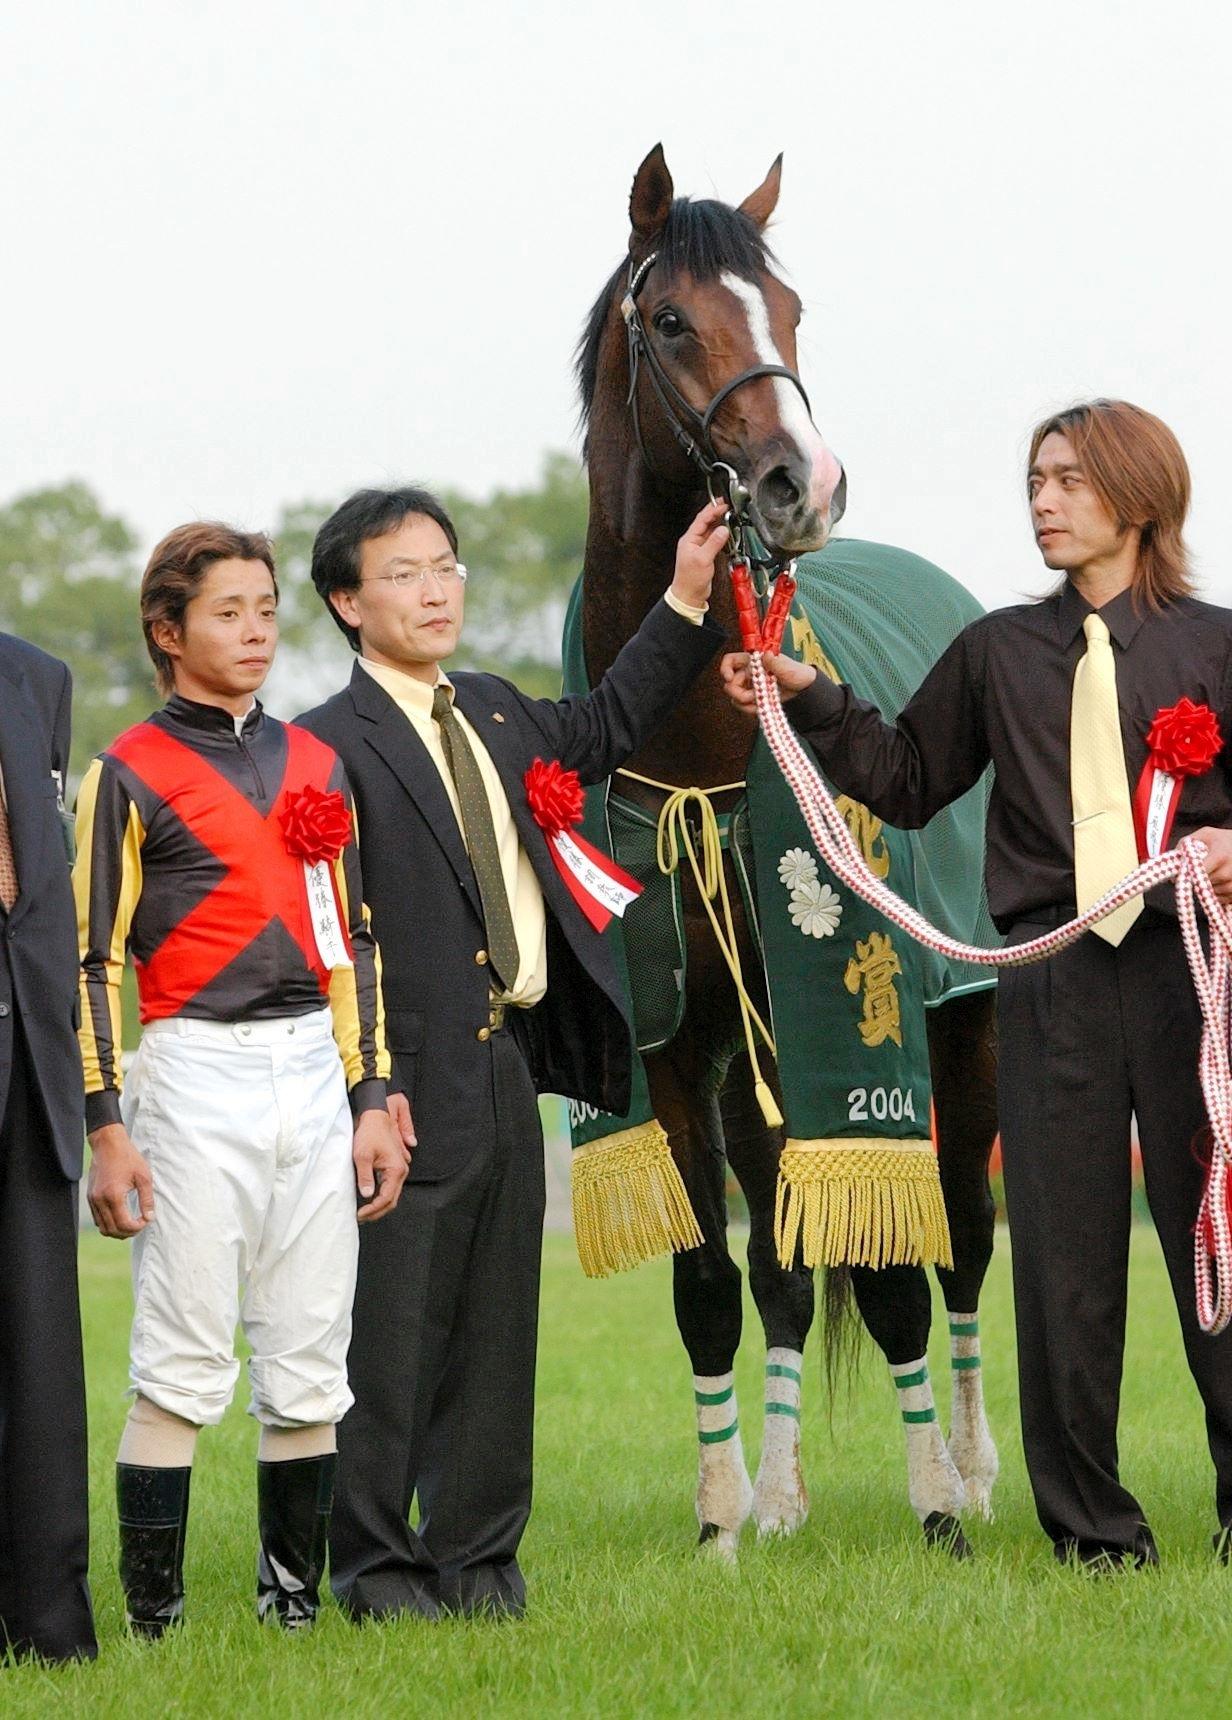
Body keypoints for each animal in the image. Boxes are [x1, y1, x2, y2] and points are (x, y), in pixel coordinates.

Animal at [578, 147, 997, 1561]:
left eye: (792, 310)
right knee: (777, 1265)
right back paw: (777, 1492)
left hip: (962, 1020)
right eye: (668, 320)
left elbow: (891, 1269)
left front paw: (935, 1505)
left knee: (963, 1240)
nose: (797, 484)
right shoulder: (671, 1044)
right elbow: (717, 1279)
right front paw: (721, 1519)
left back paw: (976, 1465)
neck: (704, 759)